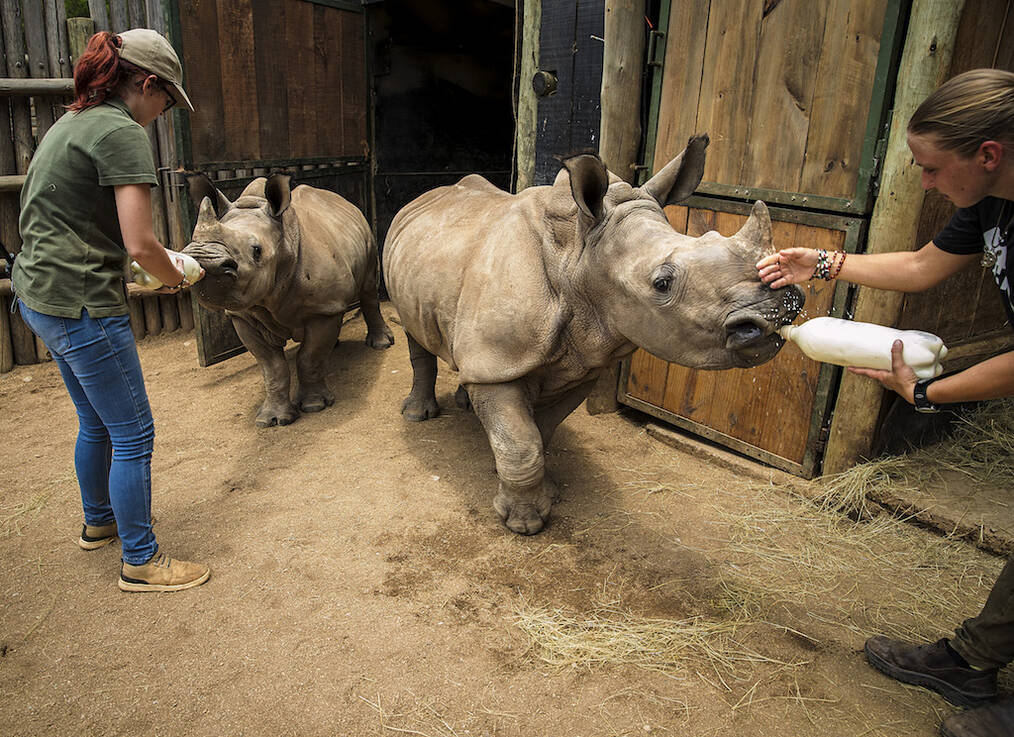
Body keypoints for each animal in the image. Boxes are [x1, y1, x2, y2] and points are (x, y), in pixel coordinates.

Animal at [184, 174, 394, 427]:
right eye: (192, 241)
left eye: (257, 250)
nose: (203, 260)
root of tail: (343, 201)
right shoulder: (242, 316)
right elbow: (272, 367)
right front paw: (272, 419)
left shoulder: (321, 310)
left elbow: (308, 357)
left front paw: (314, 406)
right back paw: (334, 345)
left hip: (365, 234)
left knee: (369, 289)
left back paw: (381, 344)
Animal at [383, 135, 803, 534]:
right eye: (662, 283)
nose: (781, 308)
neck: (578, 256)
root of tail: (429, 195)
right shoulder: (504, 359)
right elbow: (521, 444)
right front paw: (524, 523)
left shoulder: (580, 362)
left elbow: (542, 433)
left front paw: (547, 493)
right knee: (416, 334)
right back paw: (418, 416)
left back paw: (466, 404)